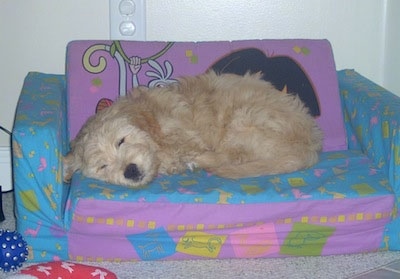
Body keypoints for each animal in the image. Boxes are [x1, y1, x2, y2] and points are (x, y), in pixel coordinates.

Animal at [64, 72, 324, 188]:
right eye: (102, 166)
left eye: (121, 141)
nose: (130, 171)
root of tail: (308, 145)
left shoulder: (185, 137)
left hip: (244, 119)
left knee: (233, 156)